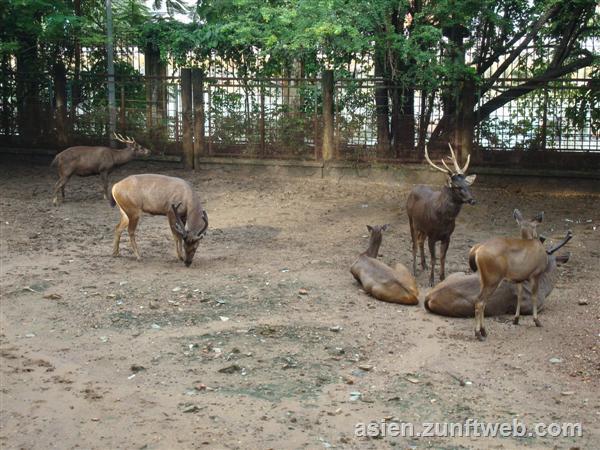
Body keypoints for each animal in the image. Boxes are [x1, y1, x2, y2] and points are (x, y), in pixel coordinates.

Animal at [406, 142, 476, 286]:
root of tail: (413, 190)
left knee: (420, 241)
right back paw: (415, 270)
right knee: (414, 244)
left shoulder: (447, 236)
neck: (444, 219)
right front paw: (431, 281)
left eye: (467, 185)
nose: (472, 200)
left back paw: (424, 265)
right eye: (457, 186)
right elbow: (434, 258)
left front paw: (443, 278)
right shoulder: (432, 235)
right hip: (411, 221)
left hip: (423, 228)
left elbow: (443, 257)